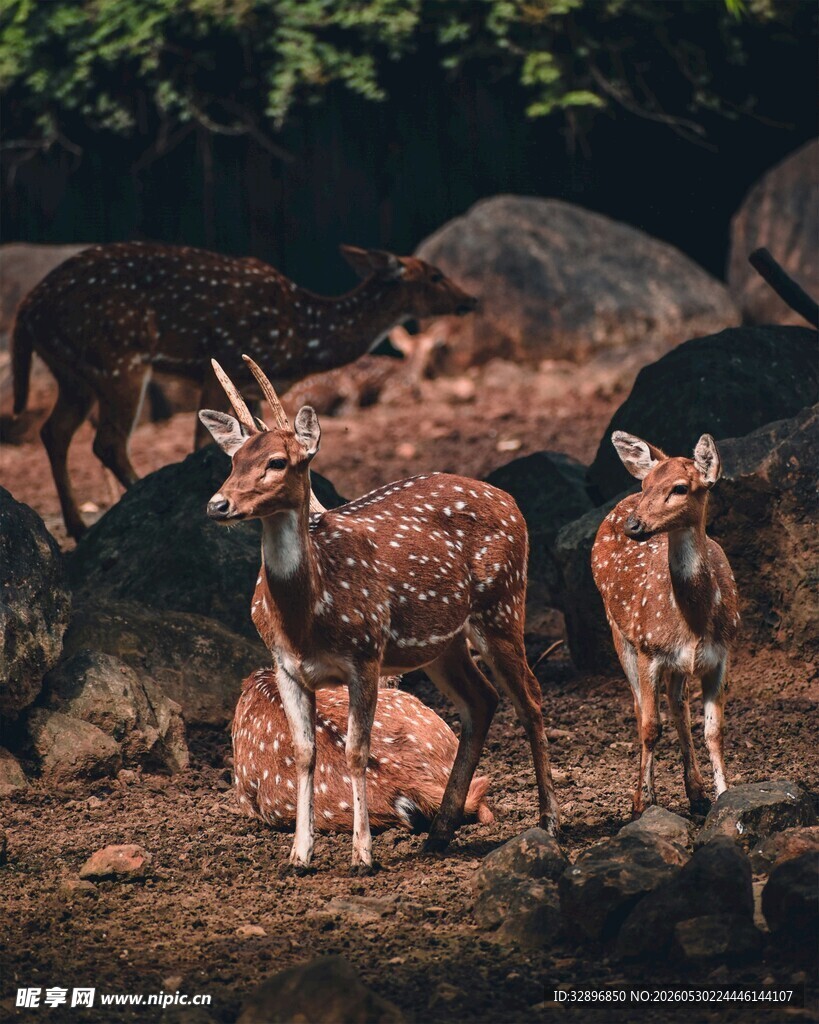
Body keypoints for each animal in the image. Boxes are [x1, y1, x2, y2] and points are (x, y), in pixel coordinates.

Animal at [11, 241, 476, 539]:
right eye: (435, 275)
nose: (470, 299)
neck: (303, 335)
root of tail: (26, 310)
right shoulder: (225, 364)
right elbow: (203, 442)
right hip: (117, 360)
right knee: (106, 440)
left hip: (73, 371)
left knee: (54, 430)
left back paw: (78, 526)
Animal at [591, 431, 740, 819]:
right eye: (646, 484)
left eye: (680, 488)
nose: (634, 525)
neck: (694, 621)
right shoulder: (648, 649)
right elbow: (649, 726)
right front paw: (643, 804)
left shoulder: (722, 655)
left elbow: (714, 731)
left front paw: (723, 795)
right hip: (619, 631)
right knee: (639, 707)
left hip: (677, 663)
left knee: (677, 705)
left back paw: (697, 794)